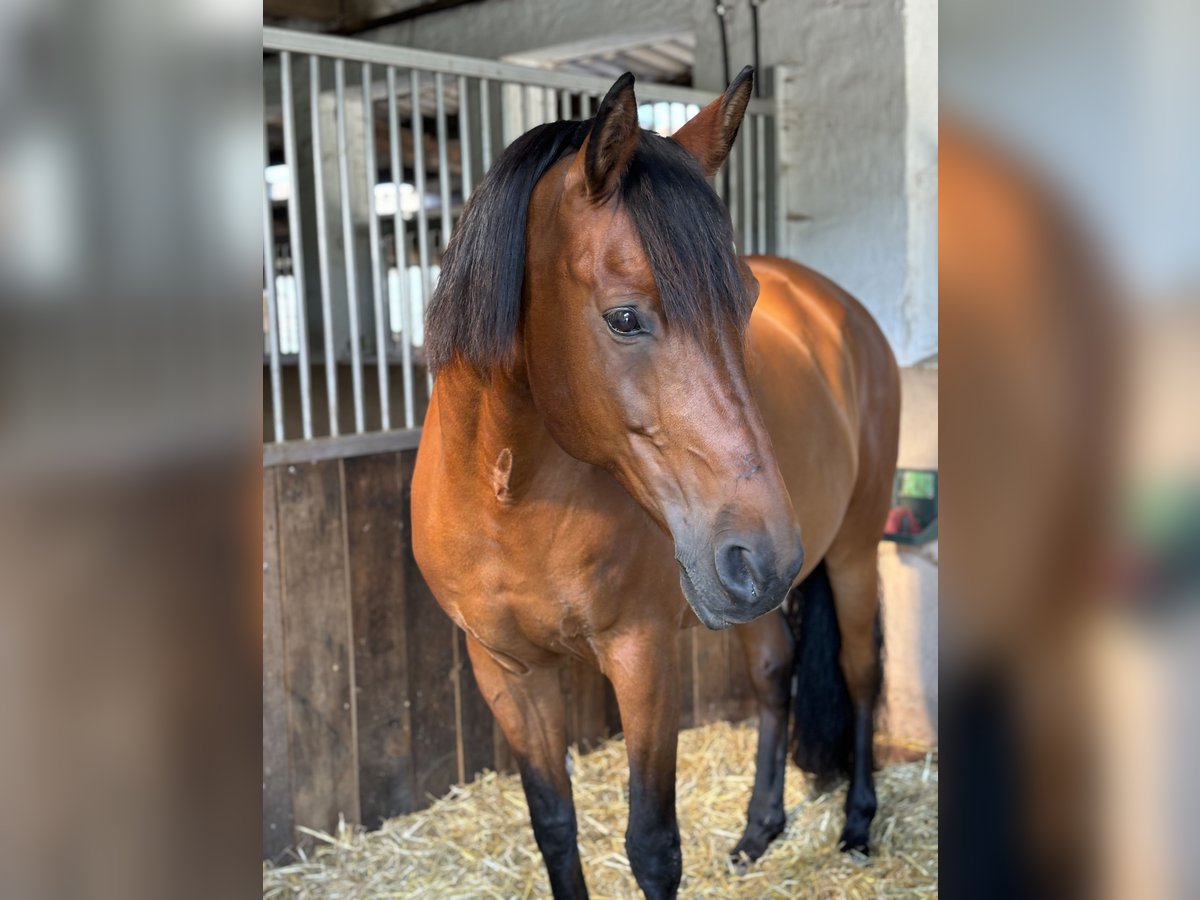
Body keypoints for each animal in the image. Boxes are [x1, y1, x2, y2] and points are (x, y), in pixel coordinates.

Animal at [412, 66, 902, 897]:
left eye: (746, 303)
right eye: (623, 318)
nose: (769, 548)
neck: (510, 496)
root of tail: (844, 312)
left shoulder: (641, 658)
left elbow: (652, 845)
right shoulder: (506, 672)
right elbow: (554, 828)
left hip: (852, 551)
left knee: (861, 672)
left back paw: (859, 827)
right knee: (774, 675)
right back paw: (757, 832)